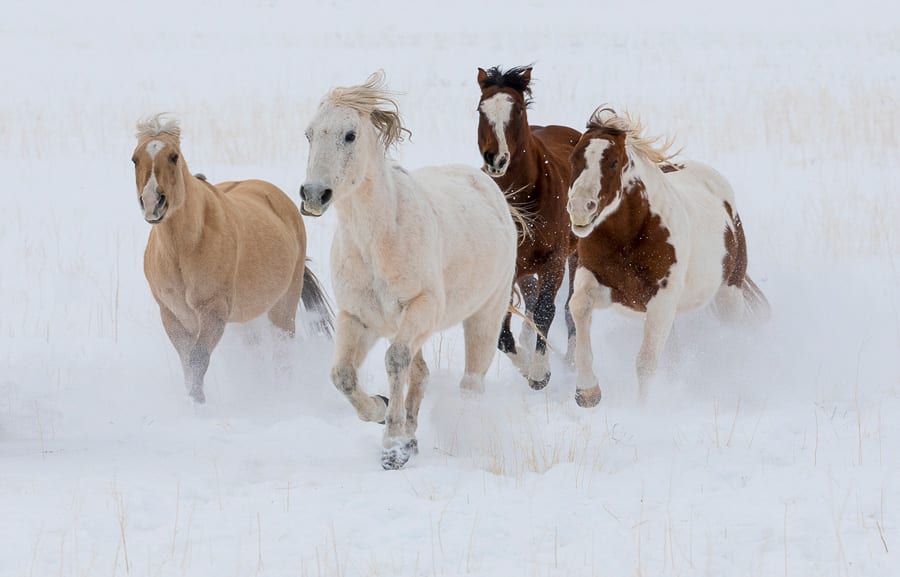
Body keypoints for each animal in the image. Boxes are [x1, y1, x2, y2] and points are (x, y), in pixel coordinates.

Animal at [132, 115, 332, 402]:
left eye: (173, 156)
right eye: (135, 159)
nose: (152, 203)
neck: (182, 249)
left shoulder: (213, 311)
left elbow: (198, 360)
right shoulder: (172, 316)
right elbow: (187, 365)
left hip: (283, 306)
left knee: (283, 351)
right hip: (246, 319)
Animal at [298, 72, 516, 468]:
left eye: (350, 134)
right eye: (309, 133)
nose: (313, 195)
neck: (377, 241)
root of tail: (488, 186)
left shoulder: (422, 306)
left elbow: (395, 361)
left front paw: (392, 445)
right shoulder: (359, 318)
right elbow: (343, 375)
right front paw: (382, 412)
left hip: (485, 314)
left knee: (471, 382)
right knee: (423, 372)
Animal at [474, 66, 580, 392]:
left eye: (518, 109)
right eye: (481, 109)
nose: (495, 158)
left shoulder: (554, 260)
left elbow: (547, 309)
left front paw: (539, 372)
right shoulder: (507, 269)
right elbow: (502, 331)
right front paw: (525, 362)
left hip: (577, 254)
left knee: (570, 306)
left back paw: (571, 360)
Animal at [568, 107, 768, 404]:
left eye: (613, 162)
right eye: (575, 158)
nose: (581, 208)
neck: (629, 237)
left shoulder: (661, 300)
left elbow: (645, 363)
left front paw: (642, 409)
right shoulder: (600, 282)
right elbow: (579, 306)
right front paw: (587, 392)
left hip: (728, 294)